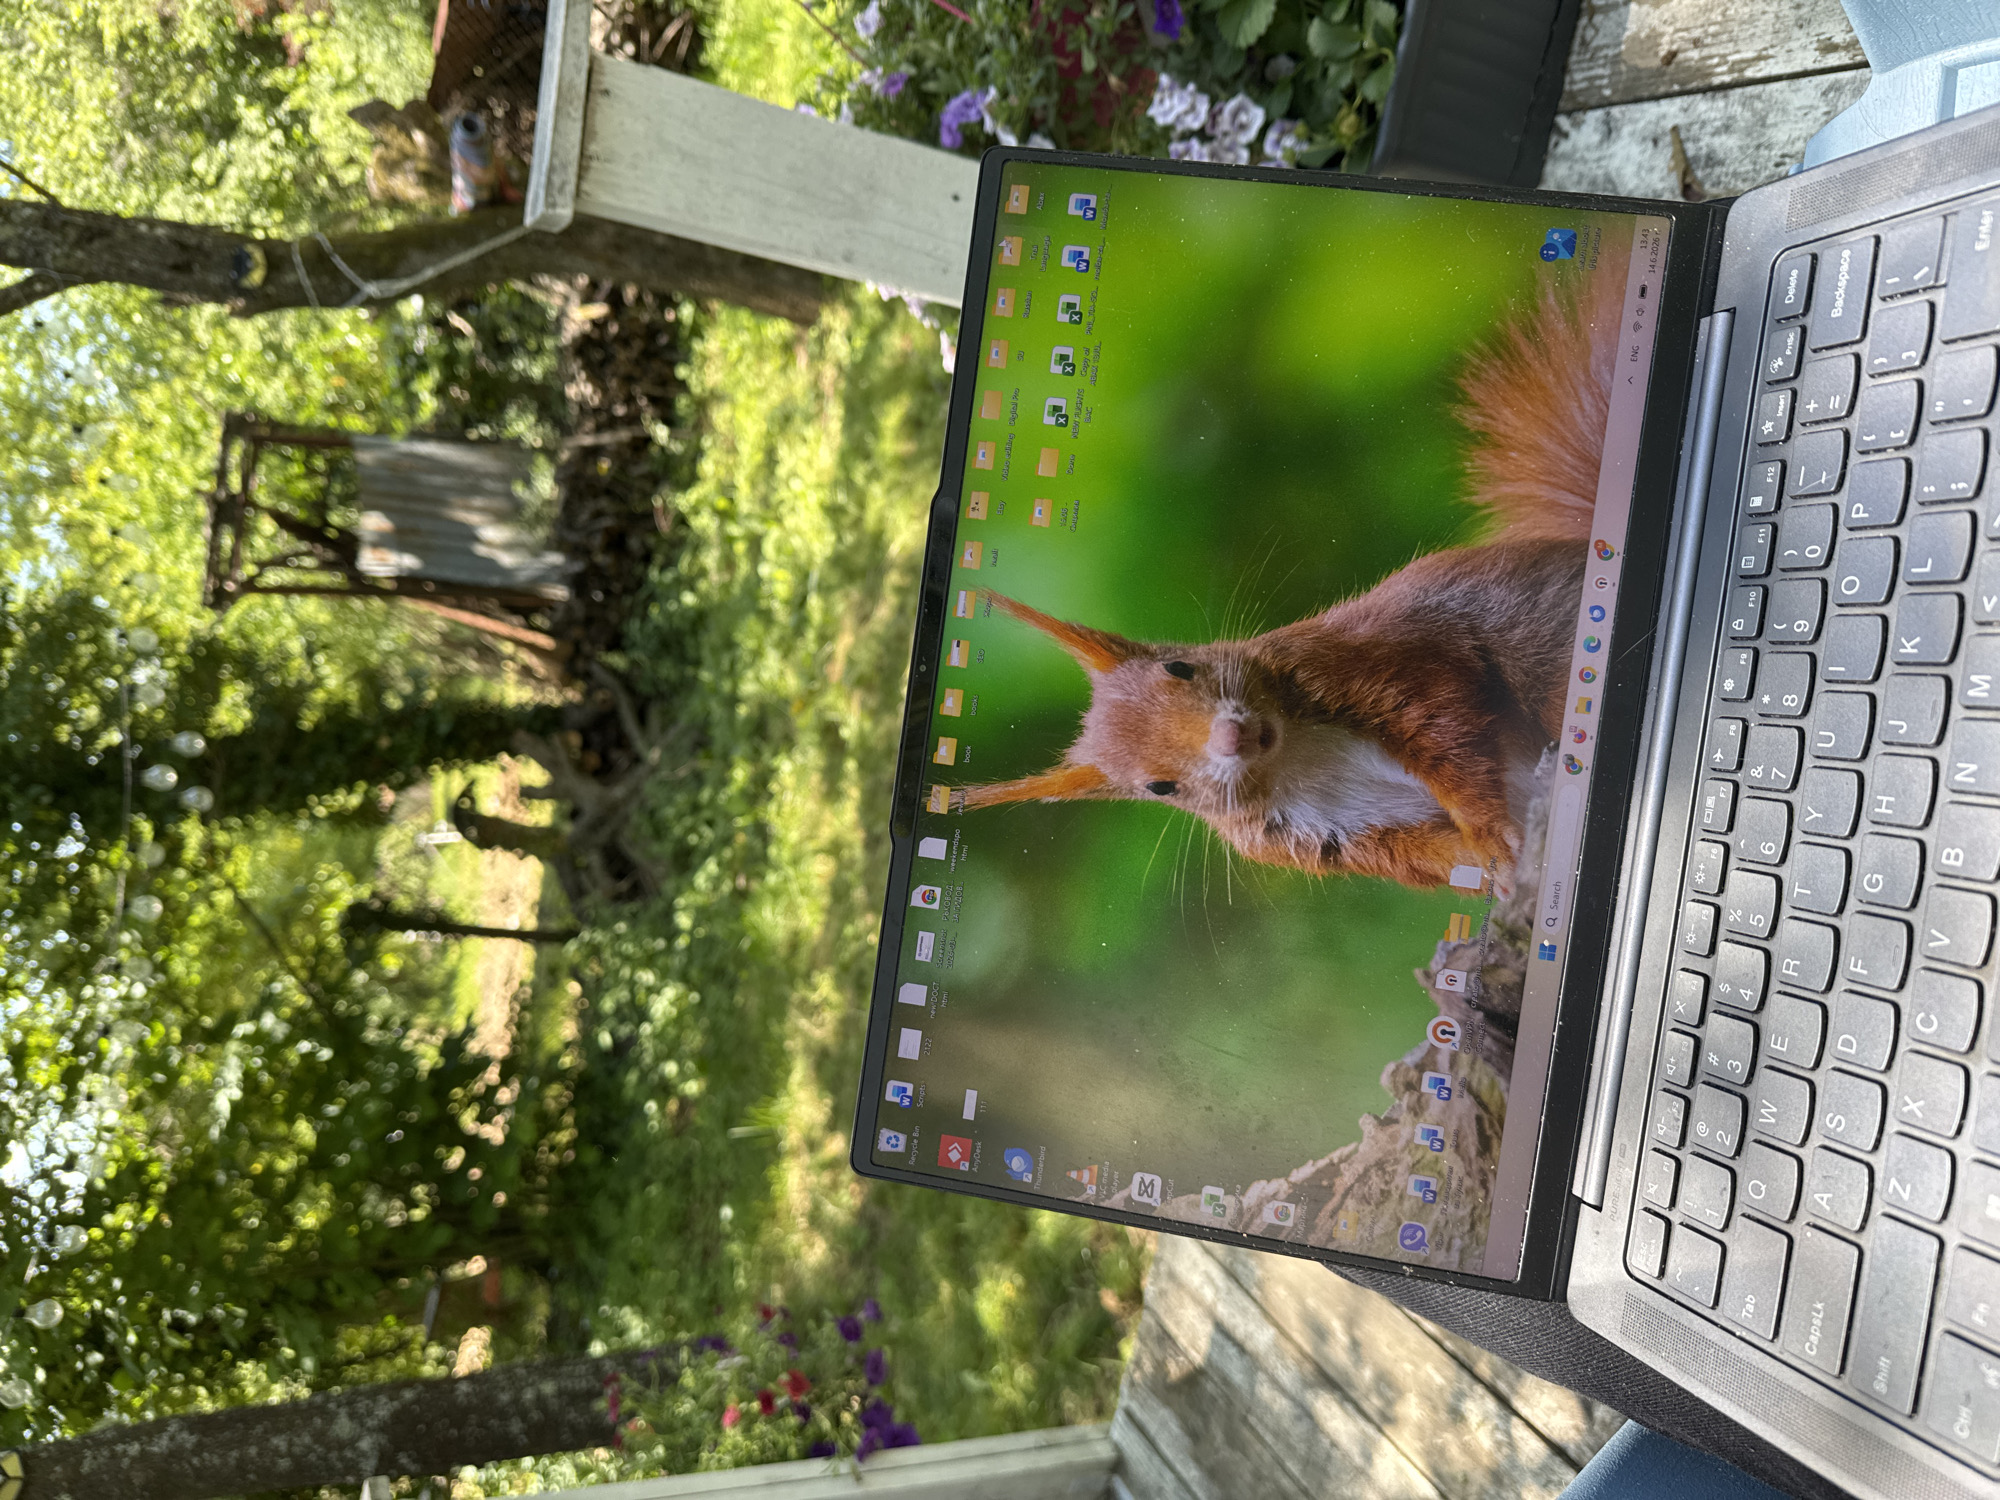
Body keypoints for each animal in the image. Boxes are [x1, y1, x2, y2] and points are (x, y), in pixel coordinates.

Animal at [953, 269, 1622, 890]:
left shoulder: (1369, 663)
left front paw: (1488, 832)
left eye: (1180, 667)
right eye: (1160, 787)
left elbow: (1445, 724)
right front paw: (1487, 861)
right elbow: (1422, 854)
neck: (1296, 756)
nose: (1229, 737)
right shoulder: (1314, 837)